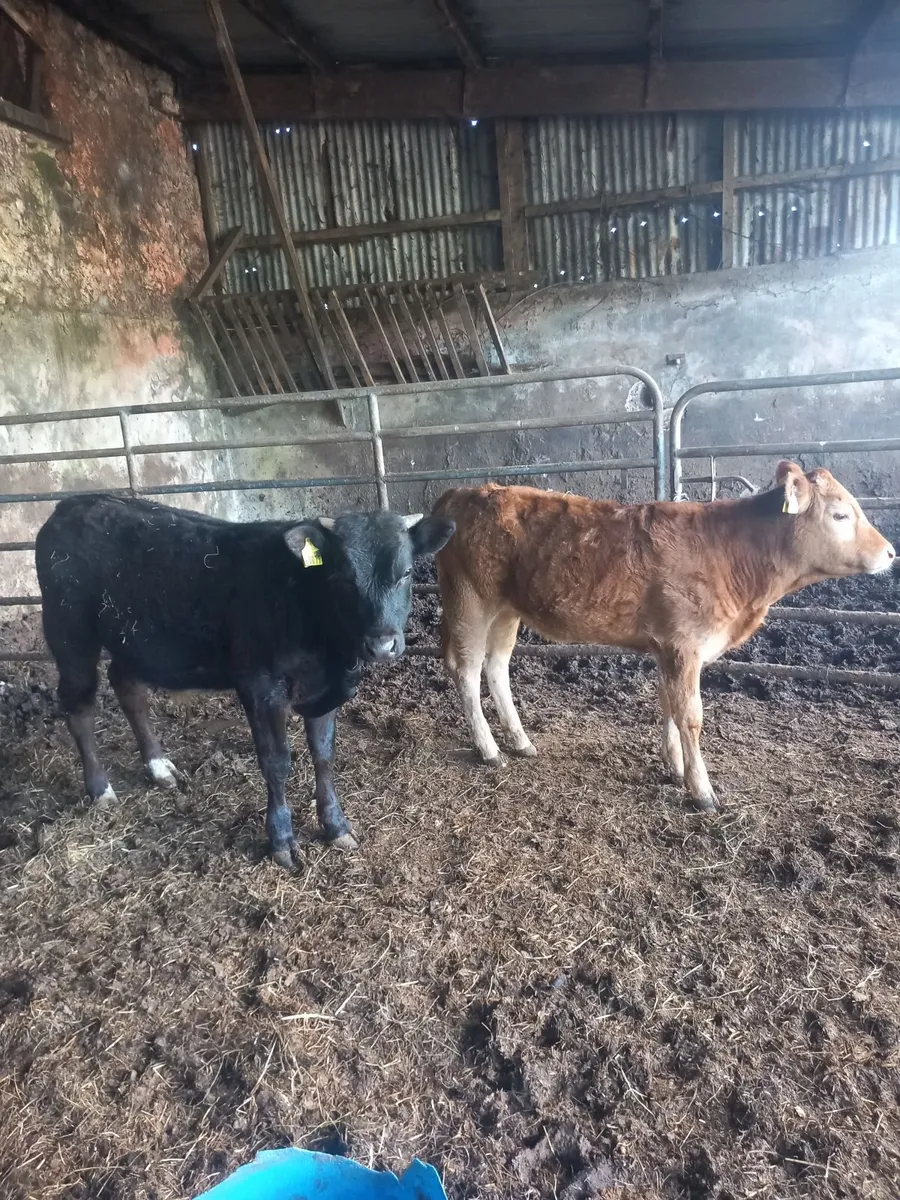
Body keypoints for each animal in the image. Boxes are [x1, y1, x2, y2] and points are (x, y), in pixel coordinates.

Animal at [35, 494, 454, 866]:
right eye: (343, 576)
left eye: (405, 573)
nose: (382, 644)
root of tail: (71, 504)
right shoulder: (259, 686)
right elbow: (276, 762)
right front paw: (281, 840)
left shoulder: (324, 689)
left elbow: (324, 756)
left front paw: (336, 827)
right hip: (69, 632)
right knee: (79, 704)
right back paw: (99, 788)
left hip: (133, 640)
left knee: (128, 687)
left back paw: (158, 766)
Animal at [433, 461, 895, 811]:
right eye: (840, 514)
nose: (891, 552)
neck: (734, 555)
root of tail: (462, 491)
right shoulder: (684, 646)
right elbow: (690, 716)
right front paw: (702, 791)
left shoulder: (668, 649)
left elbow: (669, 707)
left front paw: (675, 768)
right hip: (470, 601)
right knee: (466, 670)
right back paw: (489, 749)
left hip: (506, 611)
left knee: (496, 666)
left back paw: (520, 741)